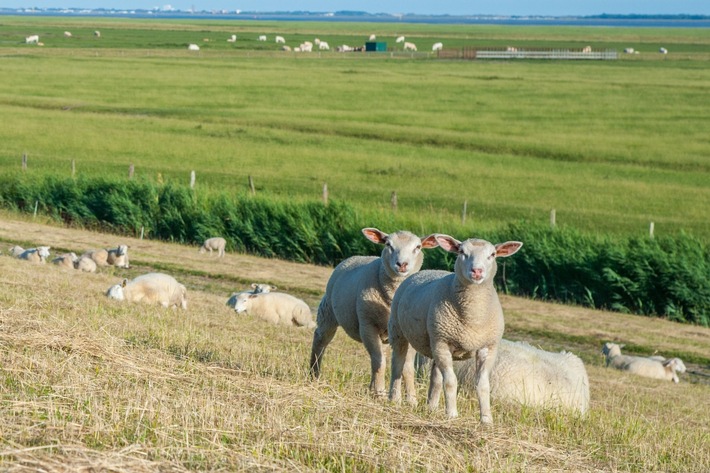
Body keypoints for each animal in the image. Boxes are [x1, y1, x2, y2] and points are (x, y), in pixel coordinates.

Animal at [310, 227, 440, 396]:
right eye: (388, 244)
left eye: (418, 247)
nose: (402, 264)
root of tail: (355, 257)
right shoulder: (367, 325)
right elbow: (379, 360)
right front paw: (379, 392)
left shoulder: (408, 333)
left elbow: (406, 365)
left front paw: (411, 397)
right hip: (329, 311)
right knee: (321, 340)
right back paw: (314, 374)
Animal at [390, 234, 524, 422]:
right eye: (462, 252)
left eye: (492, 255)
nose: (477, 271)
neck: (473, 318)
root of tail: (424, 271)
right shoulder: (443, 342)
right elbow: (451, 381)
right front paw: (452, 414)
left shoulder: (488, 347)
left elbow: (482, 385)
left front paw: (486, 419)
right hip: (400, 331)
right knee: (398, 364)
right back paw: (395, 399)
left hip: (435, 343)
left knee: (435, 376)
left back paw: (431, 407)